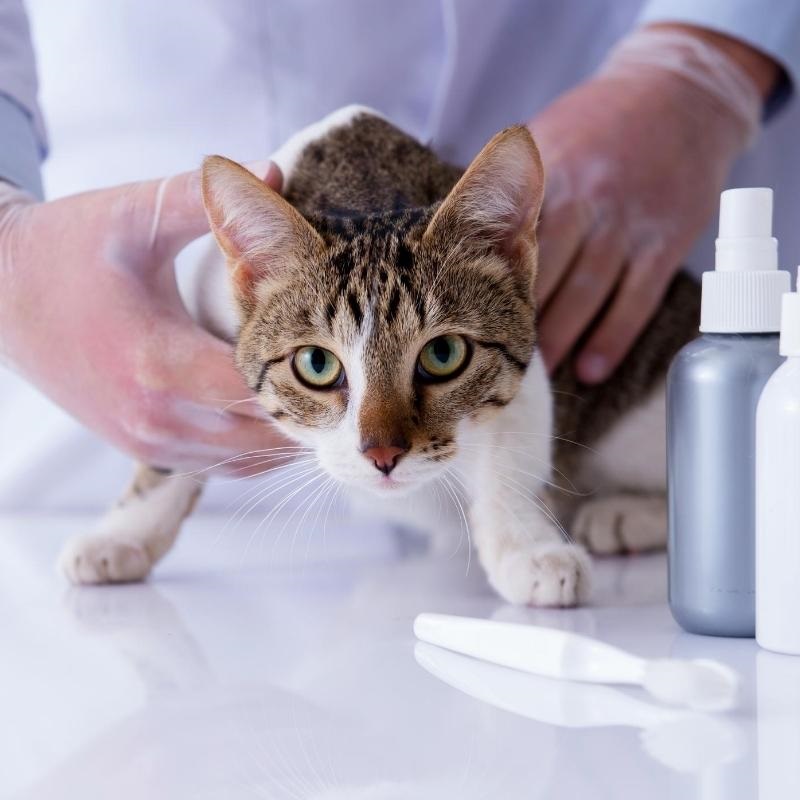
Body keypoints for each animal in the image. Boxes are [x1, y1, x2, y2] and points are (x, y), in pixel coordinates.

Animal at [59, 106, 696, 608]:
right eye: (317, 365)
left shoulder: (529, 349)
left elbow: (510, 450)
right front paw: (125, 531)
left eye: (443, 354)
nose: (382, 454)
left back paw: (624, 514)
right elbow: (169, 440)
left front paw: (528, 548)